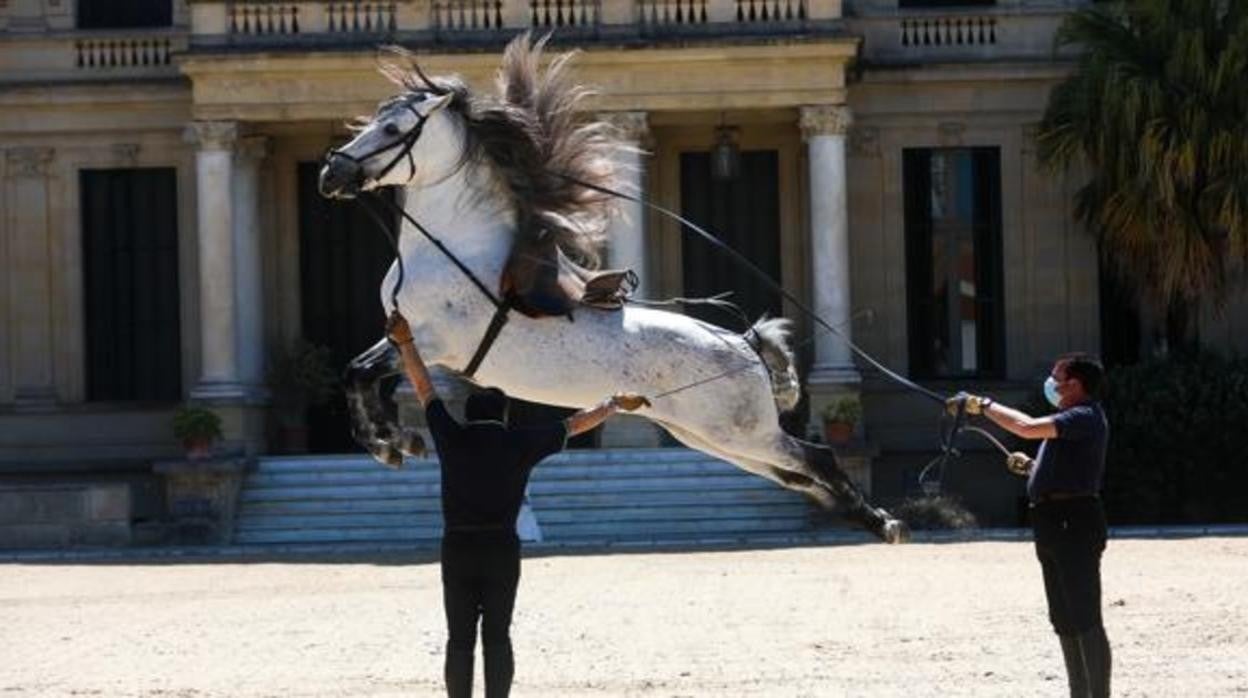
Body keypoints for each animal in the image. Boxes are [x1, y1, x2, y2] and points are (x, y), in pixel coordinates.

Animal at [321, 35, 908, 544]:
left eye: (393, 129)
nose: (332, 173)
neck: (456, 247)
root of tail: (743, 344)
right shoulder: (403, 336)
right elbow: (356, 373)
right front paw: (394, 443)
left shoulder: (435, 341)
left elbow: (360, 373)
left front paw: (393, 444)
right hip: (713, 436)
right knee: (796, 474)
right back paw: (869, 519)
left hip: (739, 431)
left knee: (818, 459)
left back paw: (883, 523)